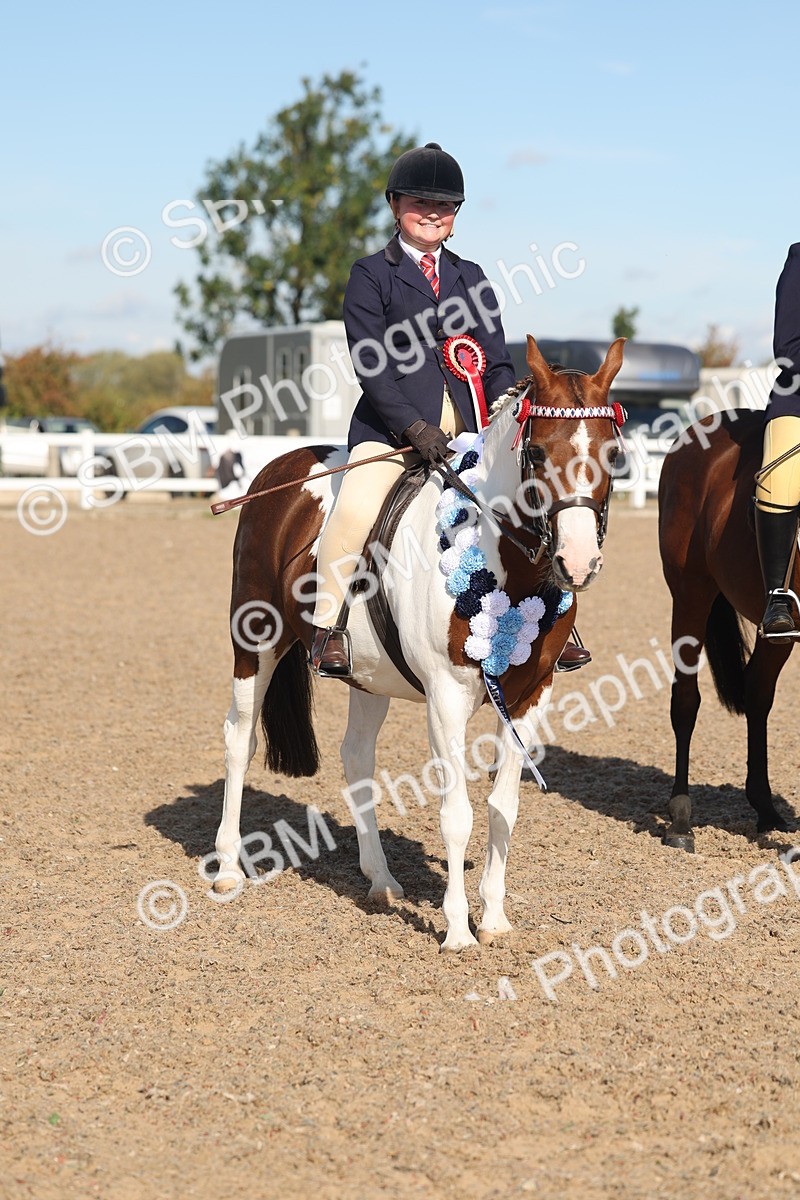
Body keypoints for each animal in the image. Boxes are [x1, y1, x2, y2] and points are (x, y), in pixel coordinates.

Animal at [212, 335, 626, 951]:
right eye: (537, 454)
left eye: (612, 454)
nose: (577, 563)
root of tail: (279, 469)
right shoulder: (446, 697)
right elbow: (457, 814)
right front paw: (457, 931)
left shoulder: (532, 694)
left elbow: (503, 806)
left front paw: (494, 919)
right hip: (255, 643)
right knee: (240, 739)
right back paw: (227, 870)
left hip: (366, 673)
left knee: (356, 755)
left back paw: (380, 880)